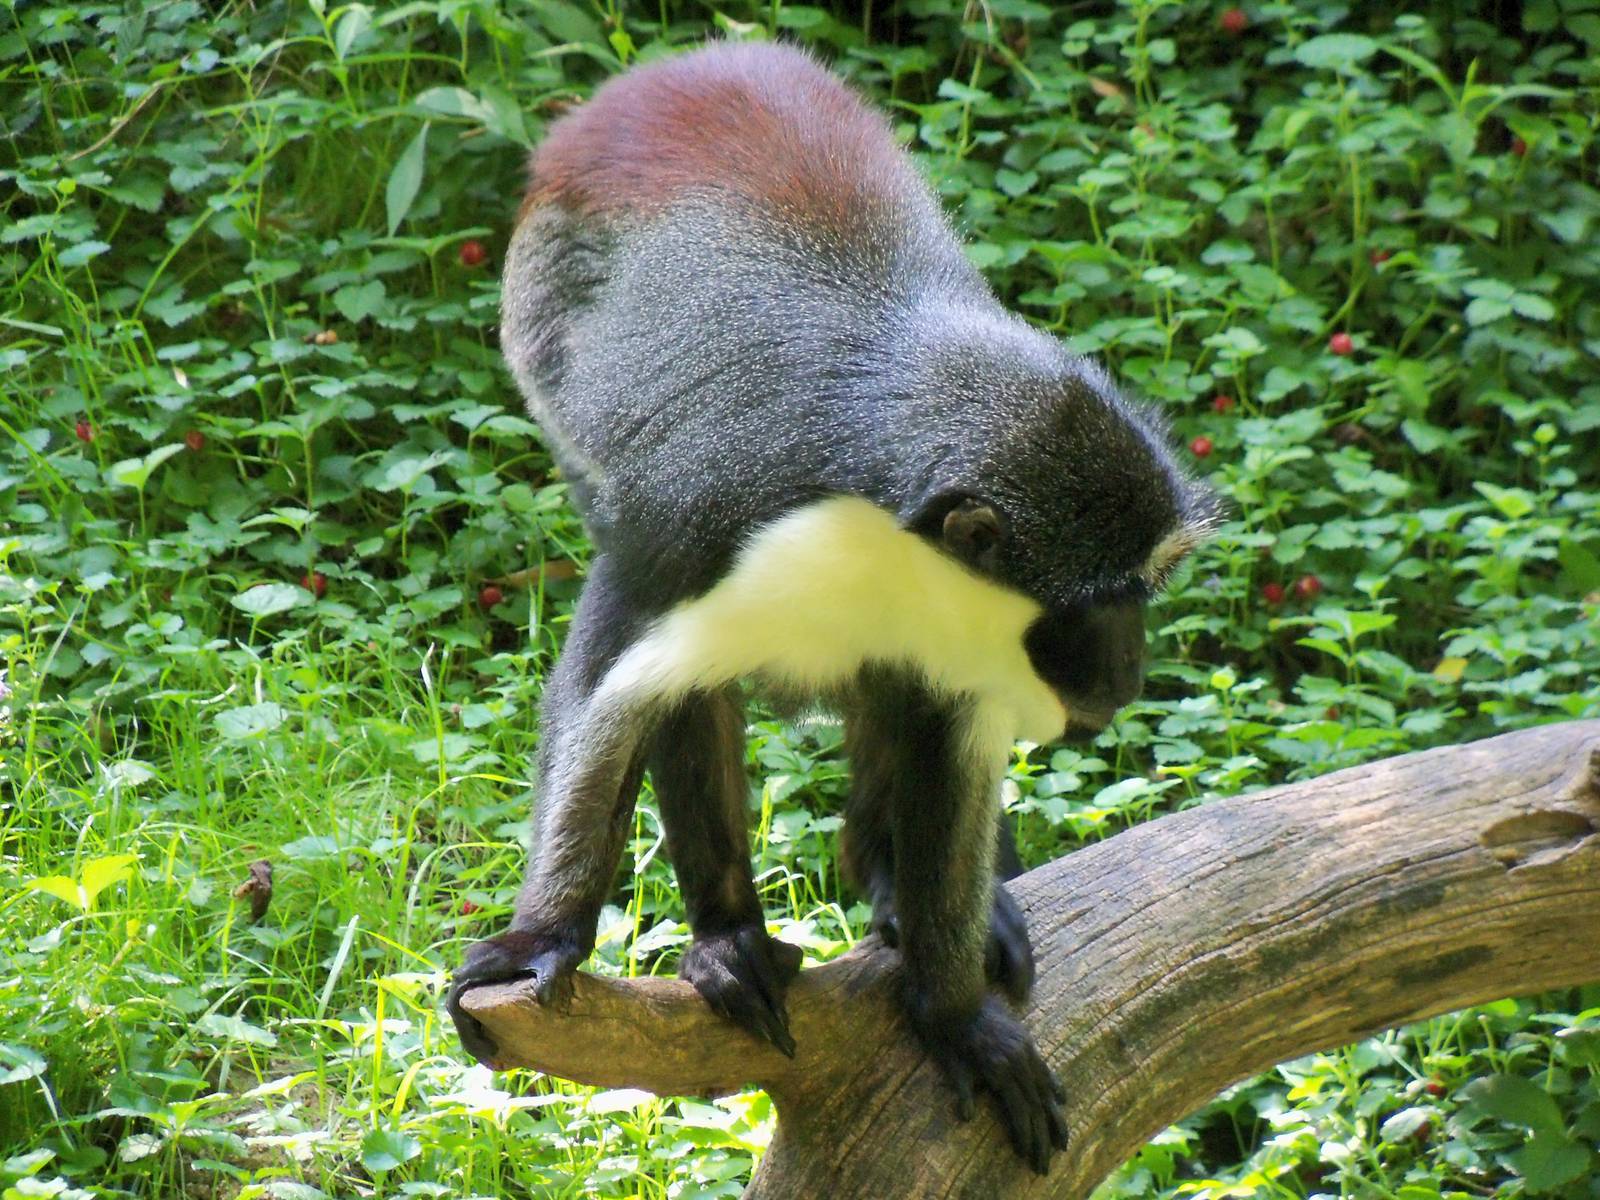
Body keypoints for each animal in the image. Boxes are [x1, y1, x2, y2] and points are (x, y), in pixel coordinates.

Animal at [445, 40, 1220, 1175]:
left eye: (1142, 596)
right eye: (1095, 607)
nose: (1126, 674)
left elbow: (946, 737)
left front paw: (953, 1011)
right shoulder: (696, 520)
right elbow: (609, 683)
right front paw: (540, 938)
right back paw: (727, 941)